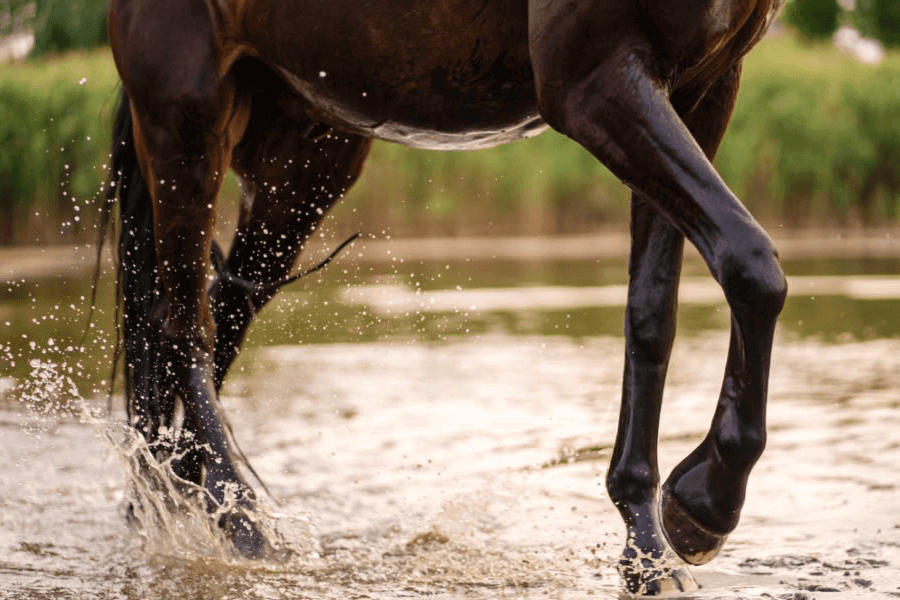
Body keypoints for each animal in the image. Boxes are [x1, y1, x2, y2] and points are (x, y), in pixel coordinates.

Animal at [104, 0, 788, 594]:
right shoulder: (594, 82)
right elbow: (753, 266)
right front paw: (704, 504)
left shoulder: (701, 89)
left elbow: (652, 314)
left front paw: (649, 547)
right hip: (186, 115)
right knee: (182, 324)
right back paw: (243, 522)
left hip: (302, 156)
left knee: (218, 312)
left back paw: (180, 496)